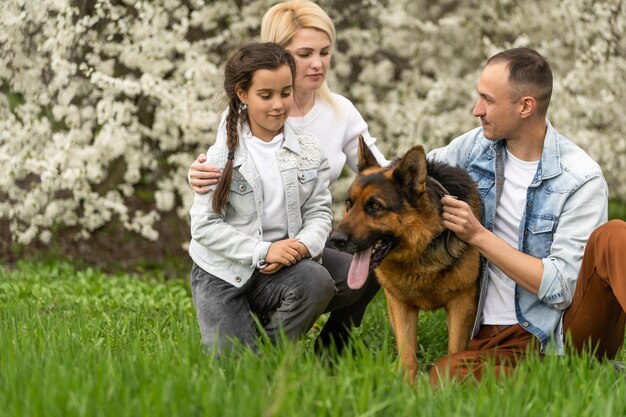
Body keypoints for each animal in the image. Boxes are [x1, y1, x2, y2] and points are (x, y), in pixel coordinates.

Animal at [332, 137, 478, 380]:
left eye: (375, 206)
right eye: (349, 204)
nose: (335, 240)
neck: (421, 250)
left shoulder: (462, 304)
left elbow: (455, 350)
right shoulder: (399, 305)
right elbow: (407, 353)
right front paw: (405, 385)